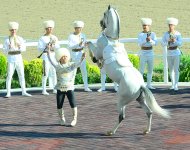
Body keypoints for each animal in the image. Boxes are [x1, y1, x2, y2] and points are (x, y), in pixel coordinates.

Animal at [87, 5, 170, 136]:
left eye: (104, 14)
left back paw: (110, 132)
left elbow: (90, 46)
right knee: (149, 112)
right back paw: (146, 130)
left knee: (122, 116)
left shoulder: (98, 52)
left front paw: (93, 57)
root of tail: (141, 85)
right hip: (139, 99)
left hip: (122, 100)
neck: (111, 40)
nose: (100, 23)